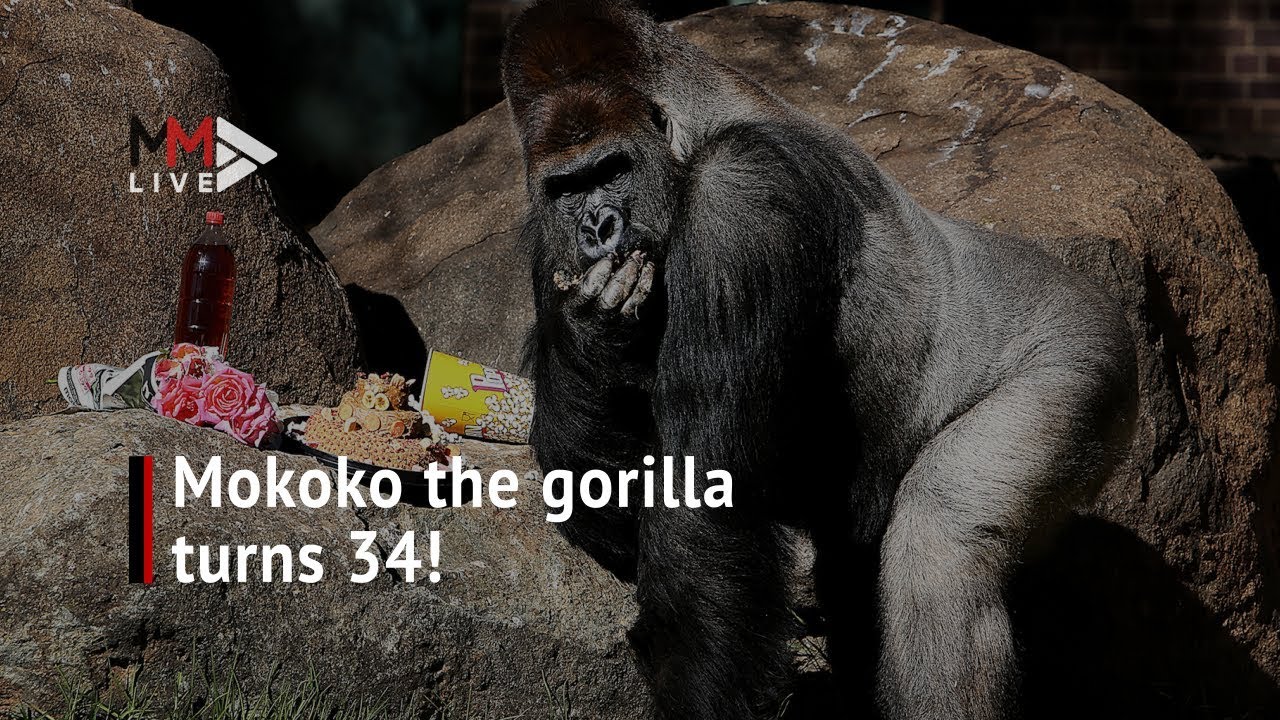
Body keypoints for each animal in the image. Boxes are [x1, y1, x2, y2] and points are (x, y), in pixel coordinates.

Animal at [499, 1, 1138, 718]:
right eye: (567, 186)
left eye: (611, 169)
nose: (597, 228)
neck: (692, 127)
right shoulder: (544, 235)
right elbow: (593, 483)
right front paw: (593, 336)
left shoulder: (743, 189)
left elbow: (702, 490)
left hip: (1086, 360)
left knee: (940, 542)